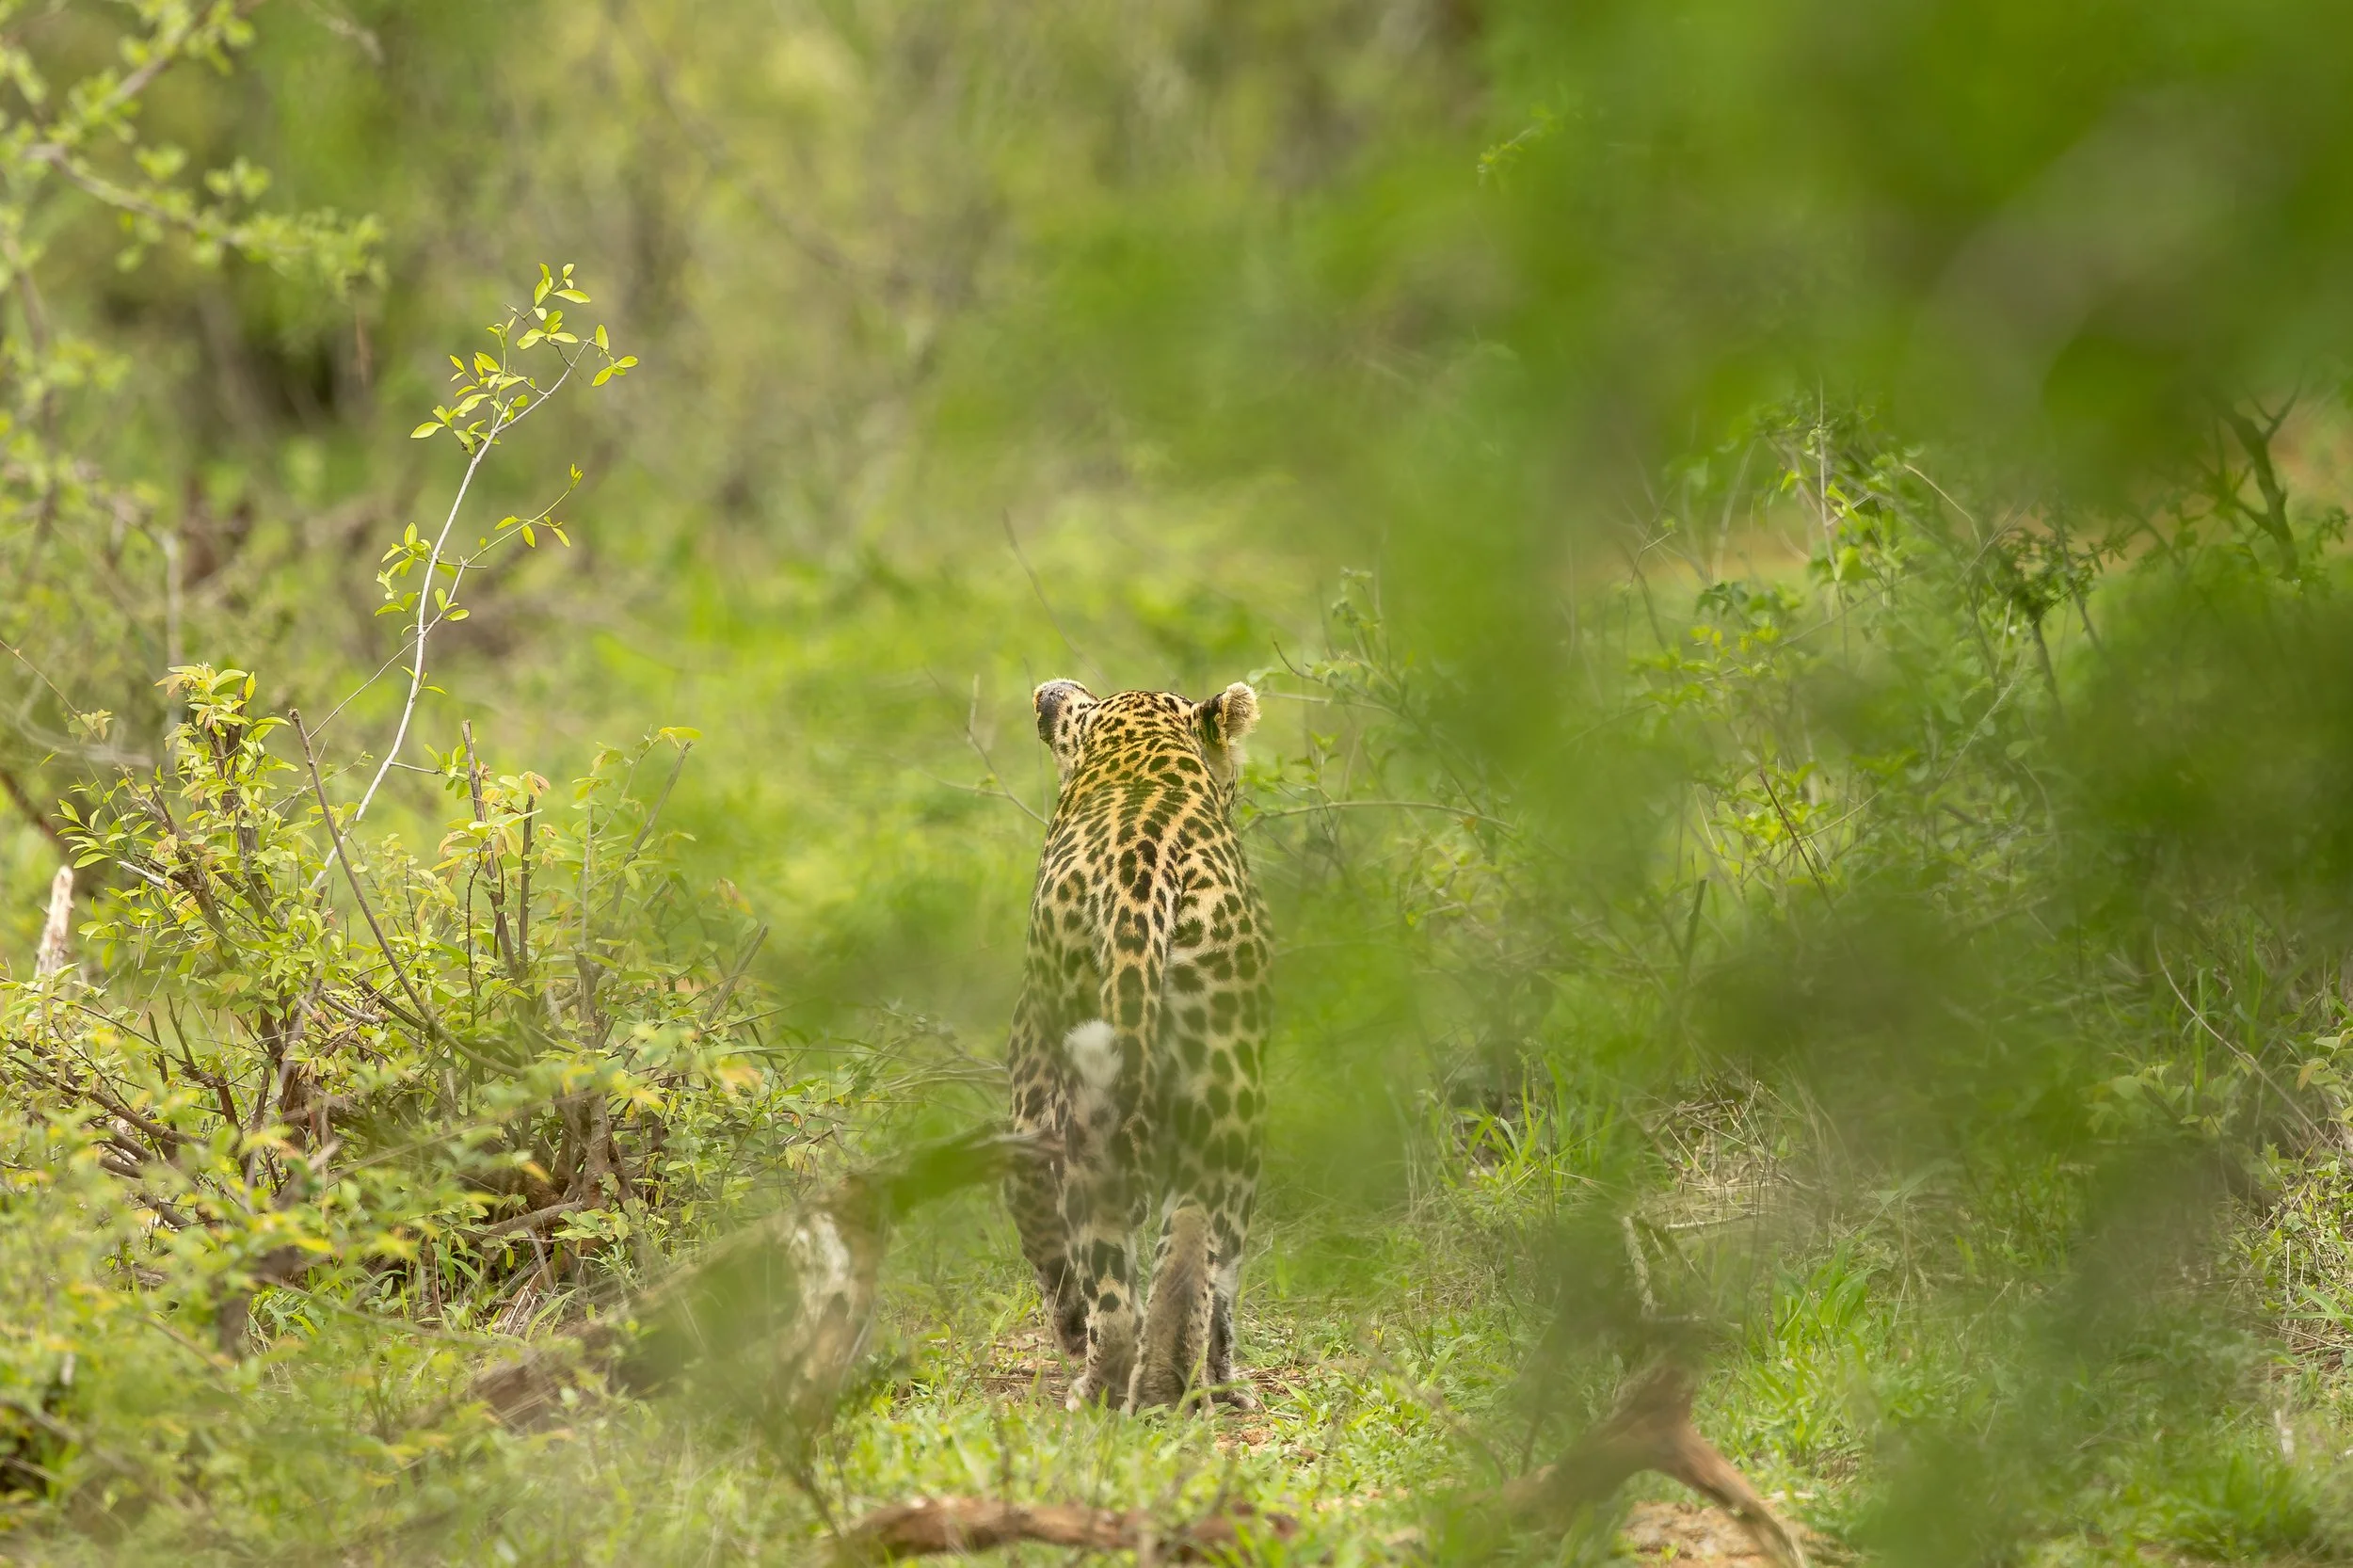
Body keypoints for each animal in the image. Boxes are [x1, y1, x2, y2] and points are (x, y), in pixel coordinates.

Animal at [1004, 678, 1269, 1412]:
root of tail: (1140, 877)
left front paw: (1068, 1327)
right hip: (1229, 1093)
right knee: (1197, 1247)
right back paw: (1179, 1385)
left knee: (1114, 1269)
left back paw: (1105, 1380)